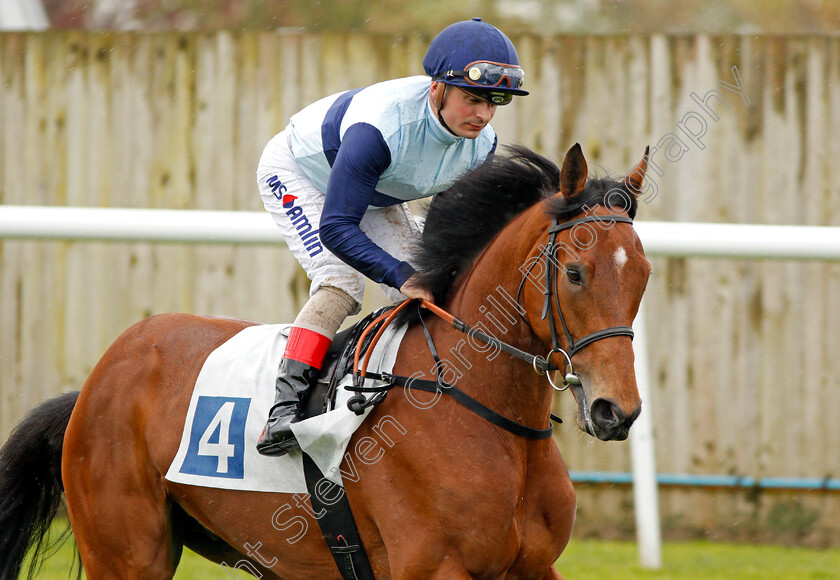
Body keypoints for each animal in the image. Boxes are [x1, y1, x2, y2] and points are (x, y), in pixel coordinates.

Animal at [0, 142, 648, 580]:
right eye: (574, 272)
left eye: (642, 274)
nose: (617, 411)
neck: (487, 415)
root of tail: (91, 385)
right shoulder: (433, 565)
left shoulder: (532, 564)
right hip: (127, 552)